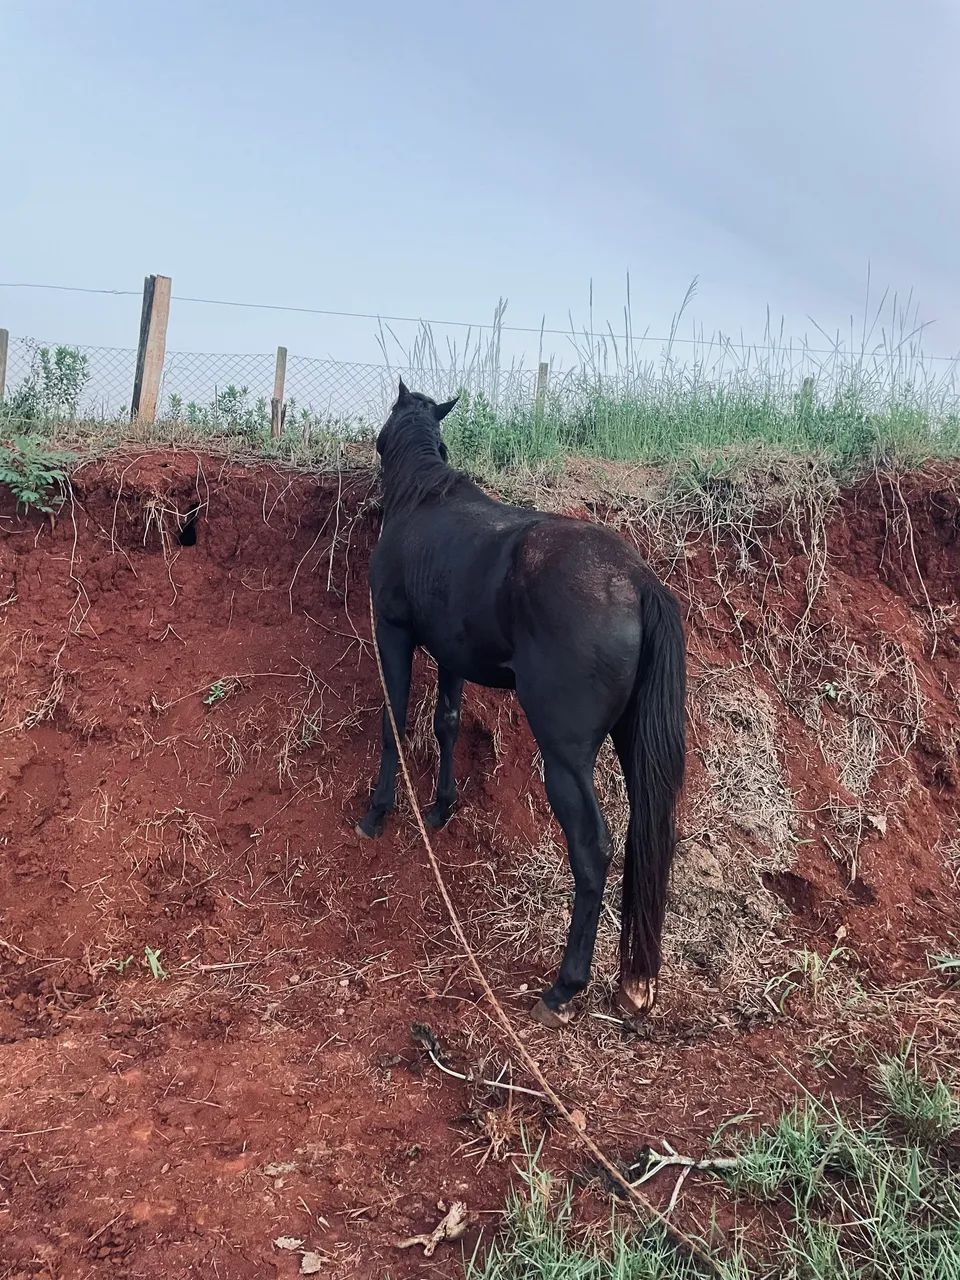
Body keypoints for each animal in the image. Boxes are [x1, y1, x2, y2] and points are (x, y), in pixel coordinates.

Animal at [358, 380, 686, 1028]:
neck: (422, 498)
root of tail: (638, 582)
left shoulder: (394, 633)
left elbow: (394, 722)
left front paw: (379, 811)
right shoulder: (452, 654)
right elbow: (446, 723)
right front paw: (440, 808)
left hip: (563, 757)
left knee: (594, 850)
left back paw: (564, 986)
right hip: (633, 750)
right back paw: (631, 984)